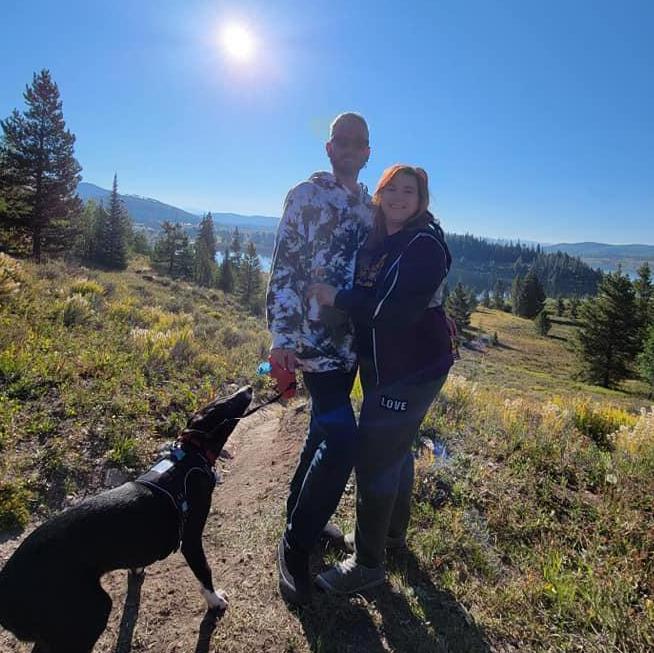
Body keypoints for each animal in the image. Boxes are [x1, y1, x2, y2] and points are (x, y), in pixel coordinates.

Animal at [0, 382, 254, 652]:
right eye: (224, 404)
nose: (248, 387)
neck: (189, 456)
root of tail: (5, 594)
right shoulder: (191, 540)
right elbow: (205, 572)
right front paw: (215, 601)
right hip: (91, 612)